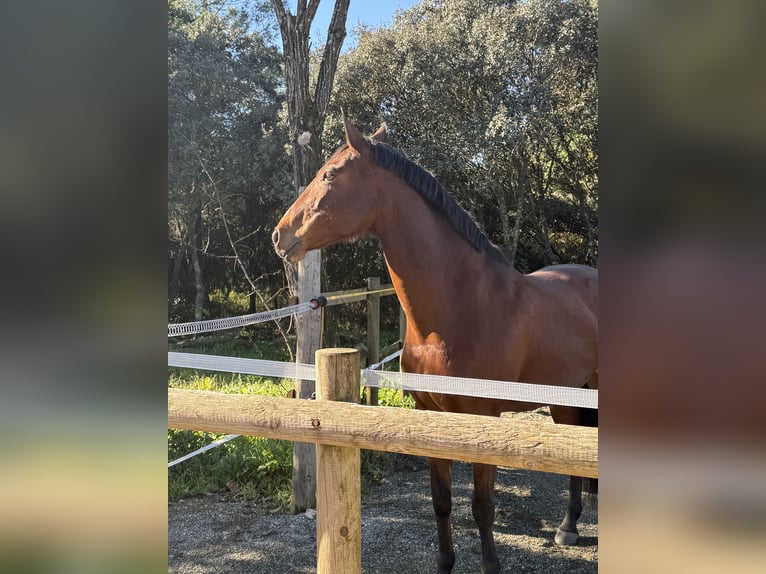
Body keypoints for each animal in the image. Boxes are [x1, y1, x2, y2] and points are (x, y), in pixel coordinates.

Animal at [272, 117, 600, 574]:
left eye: (330, 175)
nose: (279, 235)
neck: (457, 310)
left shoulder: (483, 418)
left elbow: (482, 506)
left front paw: (491, 565)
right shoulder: (429, 414)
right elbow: (442, 502)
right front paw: (445, 563)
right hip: (567, 393)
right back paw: (568, 526)